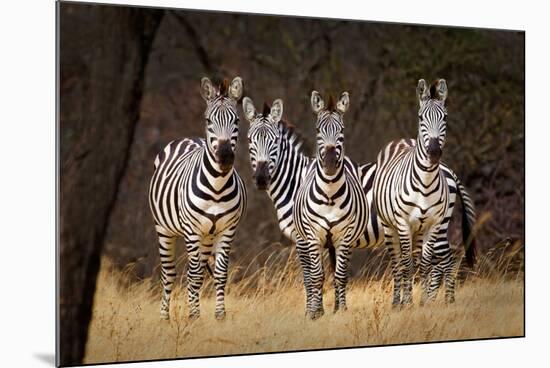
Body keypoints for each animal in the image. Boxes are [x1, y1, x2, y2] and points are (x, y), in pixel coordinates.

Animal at [150, 76, 247, 320]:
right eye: (208, 120)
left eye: (236, 120)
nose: (225, 157)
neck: (217, 188)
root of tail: (188, 138)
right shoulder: (191, 230)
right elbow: (192, 274)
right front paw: (193, 316)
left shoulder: (227, 229)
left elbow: (220, 273)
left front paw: (219, 315)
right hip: (164, 229)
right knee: (170, 272)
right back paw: (165, 316)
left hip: (207, 236)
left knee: (201, 270)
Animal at [294, 90, 370, 320]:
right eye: (318, 130)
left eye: (342, 130)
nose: (328, 162)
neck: (328, 194)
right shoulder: (313, 235)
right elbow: (317, 276)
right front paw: (315, 313)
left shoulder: (344, 236)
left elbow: (341, 275)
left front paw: (341, 310)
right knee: (313, 274)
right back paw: (316, 308)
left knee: (337, 270)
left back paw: (336, 306)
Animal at [376, 79, 478, 306]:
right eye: (421, 117)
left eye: (445, 117)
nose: (433, 152)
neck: (425, 182)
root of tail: (403, 140)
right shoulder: (403, 223)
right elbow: (407, 265)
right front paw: (408, 303)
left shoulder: (433, 224)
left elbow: (424, 264)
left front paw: (422, 303)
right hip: (390, 227)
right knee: (397, 263)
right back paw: (397, 302)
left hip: (431, 227)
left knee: (441, 259)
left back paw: (447, 299)